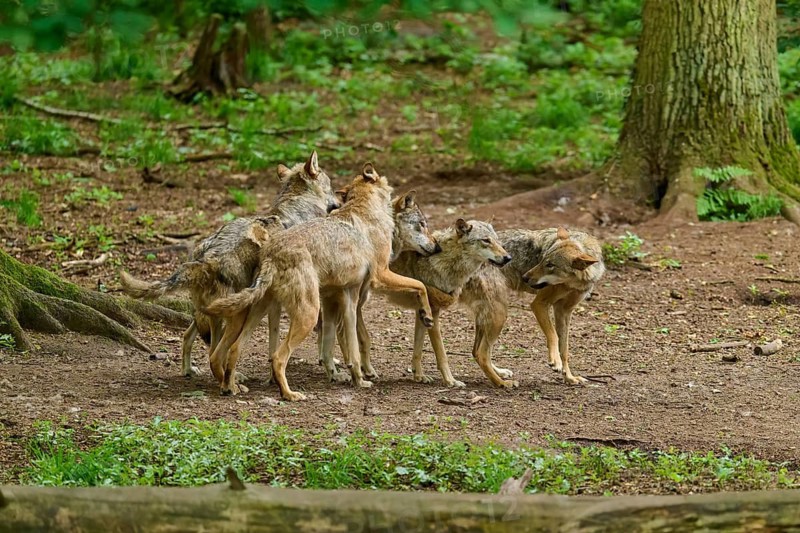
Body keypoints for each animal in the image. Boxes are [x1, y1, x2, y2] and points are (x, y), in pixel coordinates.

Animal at [120, 151, 339, 377]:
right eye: (331, 186)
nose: (339, 200)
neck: (296, 209)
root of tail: (204, 260)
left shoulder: (272, 303)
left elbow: (274, 341)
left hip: (213, 314)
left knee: (189, 338)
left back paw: (190, 370)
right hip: (236, 314)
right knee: (214, 352)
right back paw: (233, 378)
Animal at [204, 163, 435, 401]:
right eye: (423, 224)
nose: (437, 247)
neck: (366, 212)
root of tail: (271, 254)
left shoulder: (349, 300)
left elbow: (351, 346)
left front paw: (357, 379)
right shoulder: (381, 275)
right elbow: (421, 286)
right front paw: (426, 315)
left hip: (257, 313)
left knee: (231, 350)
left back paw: (230, 388)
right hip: (307, 316)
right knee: (277, 357)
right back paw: (289, 394)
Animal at [460, 227, 604, 387]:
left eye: (550, 265)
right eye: (542, 260)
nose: (525, 277)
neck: (574, 283)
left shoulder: (564, 310)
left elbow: (565, 349)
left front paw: (569, 377)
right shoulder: (539, 304)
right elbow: (553, 335)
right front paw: (555, 361)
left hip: (489, 316)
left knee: (476, 351)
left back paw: (500, 373)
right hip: (500, 314)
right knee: (481, 354)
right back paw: (502, 383)